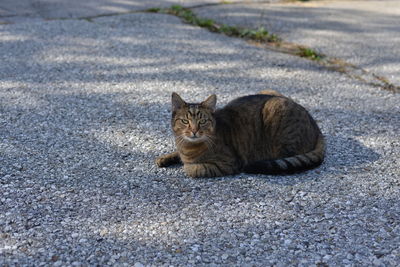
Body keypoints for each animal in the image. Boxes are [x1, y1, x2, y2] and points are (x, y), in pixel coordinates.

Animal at [156, 91, 324, 179]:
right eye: (185, 121)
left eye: (202, 121)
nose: (194, 131)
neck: (188, 147)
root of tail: (316, 125)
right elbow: (176, 154)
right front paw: (165, 158)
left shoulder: (228, 163)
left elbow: (192, 169)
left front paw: (187, 165)